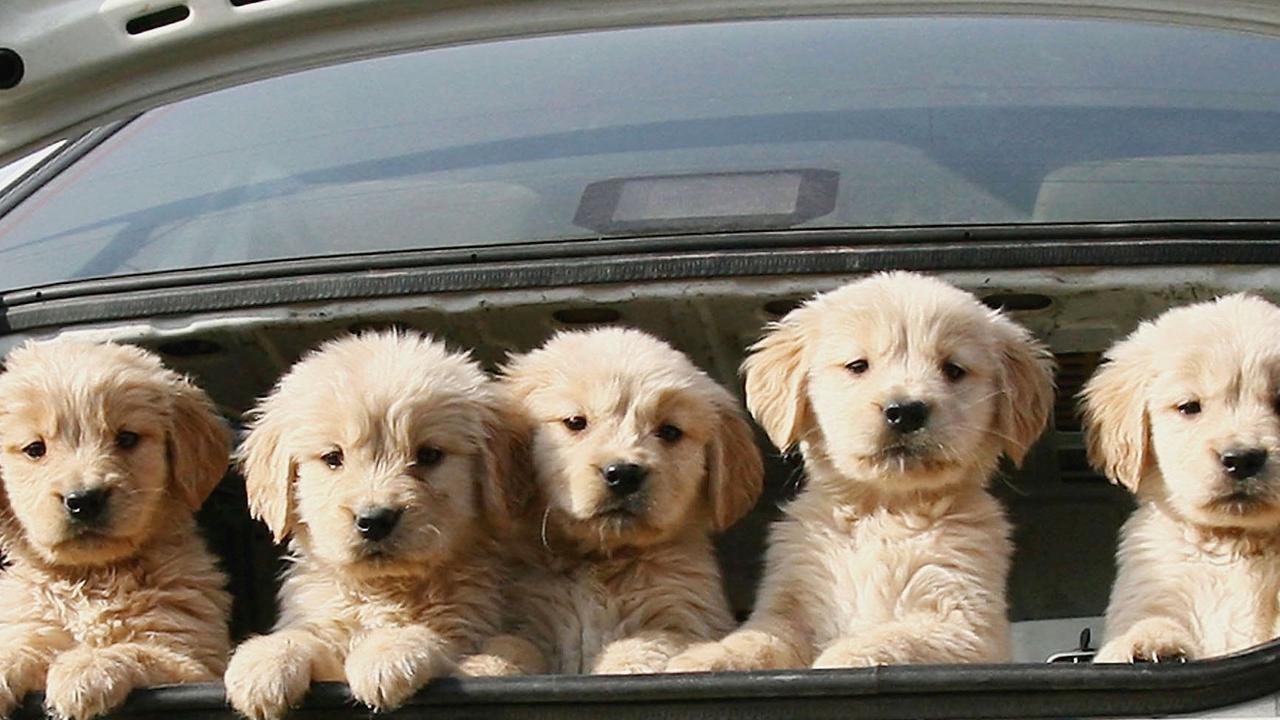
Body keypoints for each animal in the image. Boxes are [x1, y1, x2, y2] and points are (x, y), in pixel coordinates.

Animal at [0, 338, 231, 717]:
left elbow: (140, 651)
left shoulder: (194, 662)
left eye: (127, 439)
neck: (91, 579)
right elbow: (21, 644)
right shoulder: (32, 623)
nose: (84, 500)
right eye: (35, 449)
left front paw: (87, 668)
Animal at [222, 330, 522, 717]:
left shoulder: (472, 621)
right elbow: (309, 636)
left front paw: (389, 652)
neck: (384, 590)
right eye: (333, 458)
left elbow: (443, 638)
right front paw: (265, 659)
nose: (374, 520)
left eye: (429, 455)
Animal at [458, 327, 757, 676]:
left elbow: (643, 644)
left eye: (670, 431)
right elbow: (511, 645)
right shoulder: (525, 615)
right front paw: (481, 666)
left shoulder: (683, 616)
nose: (624, 474)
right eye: (575, 422)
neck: (598, 561)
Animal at [665, 271, 1054, 671]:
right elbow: (760, 637)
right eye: (857, 366)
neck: (883, 510)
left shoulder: (963, 621)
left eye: (953, 369)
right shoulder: (791, 603)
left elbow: (893, 638)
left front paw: (841, 657)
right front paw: (705, 657)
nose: (905, 411)